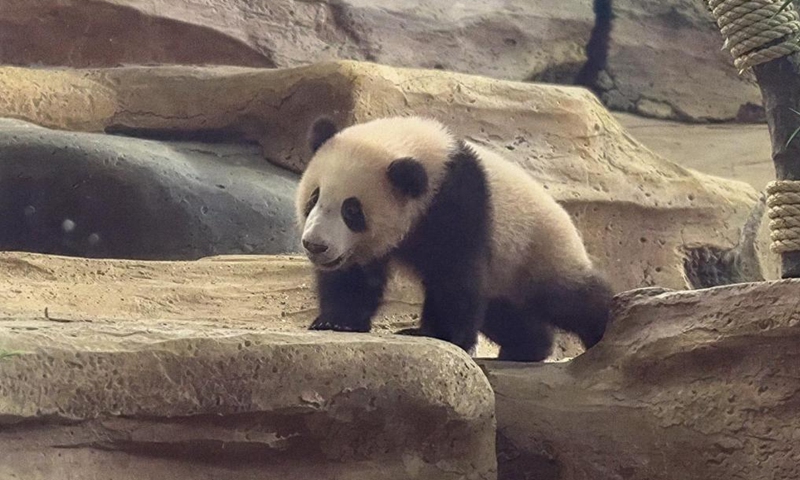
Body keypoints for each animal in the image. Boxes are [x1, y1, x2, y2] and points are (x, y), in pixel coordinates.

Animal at [295, 115, 614, 362]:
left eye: (351, 210)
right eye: (314, 197)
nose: (315, 245)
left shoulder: (457, 202)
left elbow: (453, 273)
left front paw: (438, 334)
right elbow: (354, 277)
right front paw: (337, 321)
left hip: (537, 250)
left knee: (570, 299)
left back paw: (606, 327)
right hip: (505, 276)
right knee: (504, 313)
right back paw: (528, 347)